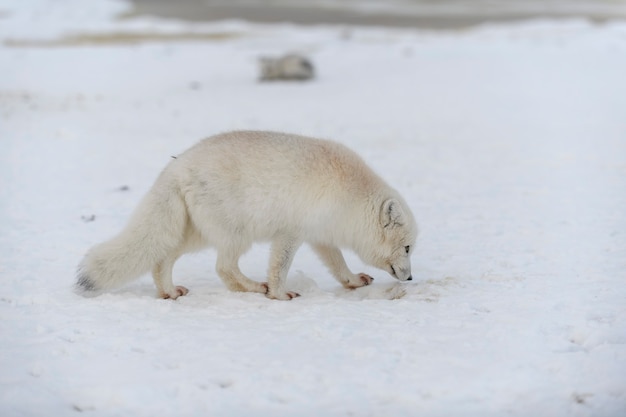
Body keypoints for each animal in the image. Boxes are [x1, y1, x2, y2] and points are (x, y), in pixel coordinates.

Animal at [79, 130, 420, 300]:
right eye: (407, 248)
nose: (410, 277)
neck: (349, 195)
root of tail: (177, 166)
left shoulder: (319, 236)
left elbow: (338, 265)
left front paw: (353, 281)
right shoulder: (291, 232)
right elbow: (279, 267)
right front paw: (279, 294)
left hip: (195, 234)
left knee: (164, 259)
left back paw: (169, 292)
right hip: (236, 234)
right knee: (224, 268)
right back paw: (257, 288)